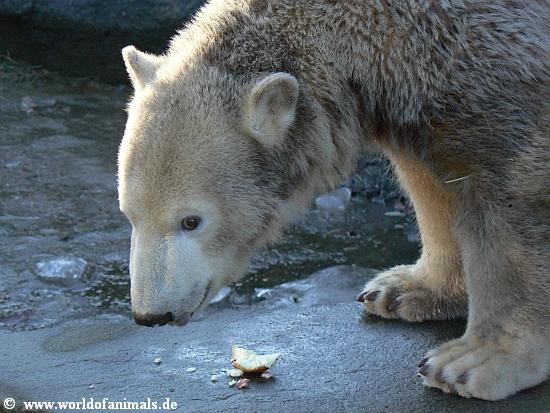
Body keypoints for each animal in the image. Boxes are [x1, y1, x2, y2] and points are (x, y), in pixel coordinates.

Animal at [118, 0, 550, 401]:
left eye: (191, 221)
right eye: (129, 214)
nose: (151, 315)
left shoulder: (500, 63)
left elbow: (512, 197)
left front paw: (475, 361)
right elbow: (432, 180)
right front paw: (407, 289)